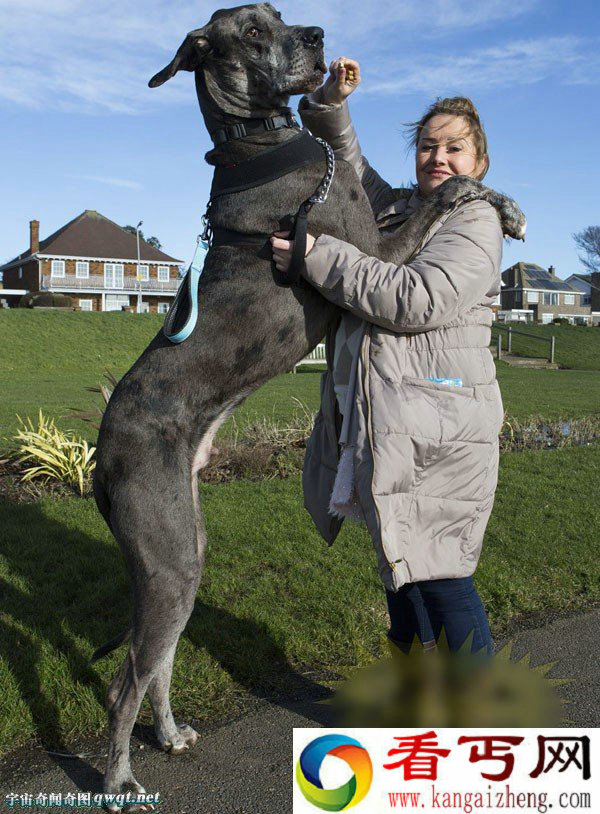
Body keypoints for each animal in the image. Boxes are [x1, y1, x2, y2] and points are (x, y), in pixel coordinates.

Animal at [90, 3, 524, 812]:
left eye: (280, 14)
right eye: (254, 31)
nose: (318, 35)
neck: (258, 138)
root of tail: (100, 453)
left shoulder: (376, 224)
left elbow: (427, 189)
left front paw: (506, 203)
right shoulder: (373, 251)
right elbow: (437, 195)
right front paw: (486, 199)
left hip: (184, 553)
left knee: (157, 659)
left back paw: (168, 735)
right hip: (166, 557)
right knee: (125, 678)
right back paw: (119, 776)